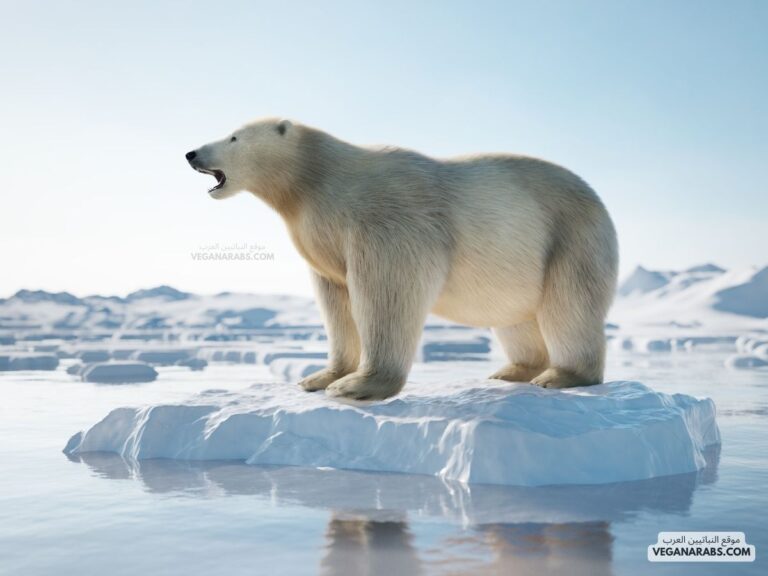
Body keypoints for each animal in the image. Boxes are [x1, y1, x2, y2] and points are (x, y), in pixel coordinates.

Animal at [187, 118, 619, 400]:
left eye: (233, 136)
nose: (191, 153)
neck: (316, 180)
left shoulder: (386, 218)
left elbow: (387, 290)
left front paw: (357, 386)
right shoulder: (323, 239)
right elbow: (336, 301)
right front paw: (319, 377)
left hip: (570, 238)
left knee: (568, 307)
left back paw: (560, 375)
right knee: (516, 318)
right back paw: (511, 371)